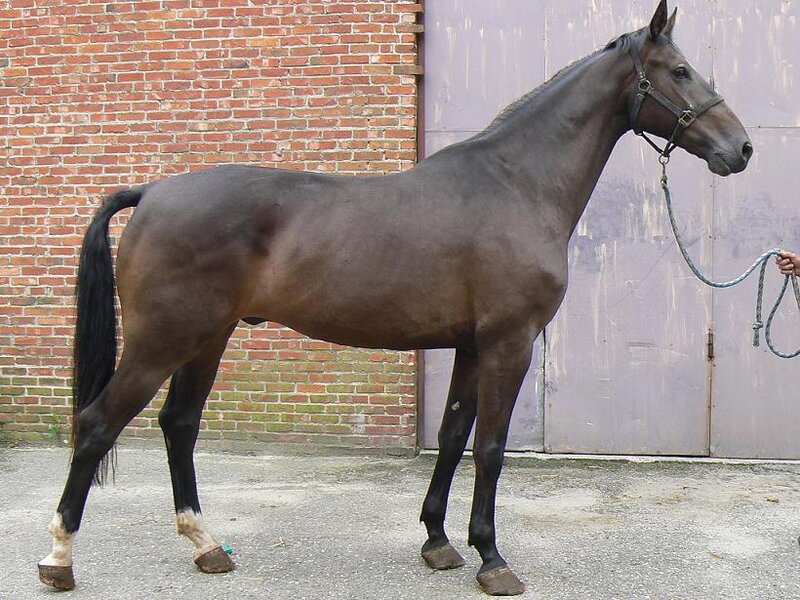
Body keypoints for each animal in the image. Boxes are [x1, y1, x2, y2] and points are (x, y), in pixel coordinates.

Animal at [38, 1, 752, 595]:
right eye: (681, 70)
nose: (741, 148)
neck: (517, 184)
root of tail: (153, 192)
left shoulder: (471, 346)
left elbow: (452, 435)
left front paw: (439, 542)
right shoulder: (509, 343)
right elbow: (490, 447)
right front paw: (493, 560)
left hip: (206, 340)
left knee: (179, 425)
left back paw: (206, 545)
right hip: (162, 342)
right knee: (97, 425)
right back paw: (59, 559)